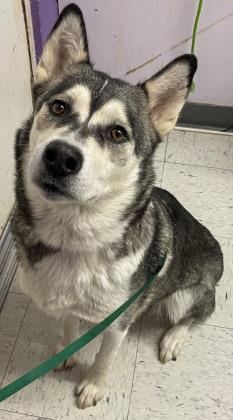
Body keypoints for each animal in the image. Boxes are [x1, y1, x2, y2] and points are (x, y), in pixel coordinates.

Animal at [11, 3, 224, 410]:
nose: (61, 157)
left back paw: (174, 337)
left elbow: (105, 358)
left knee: (196, 313)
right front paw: (66, 349)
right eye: (58, 107)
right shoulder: (68, 306)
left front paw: (93, 385)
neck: (74, 238)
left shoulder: (118, 322)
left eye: (117, 133)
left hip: (187, 295)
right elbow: (69, 324)